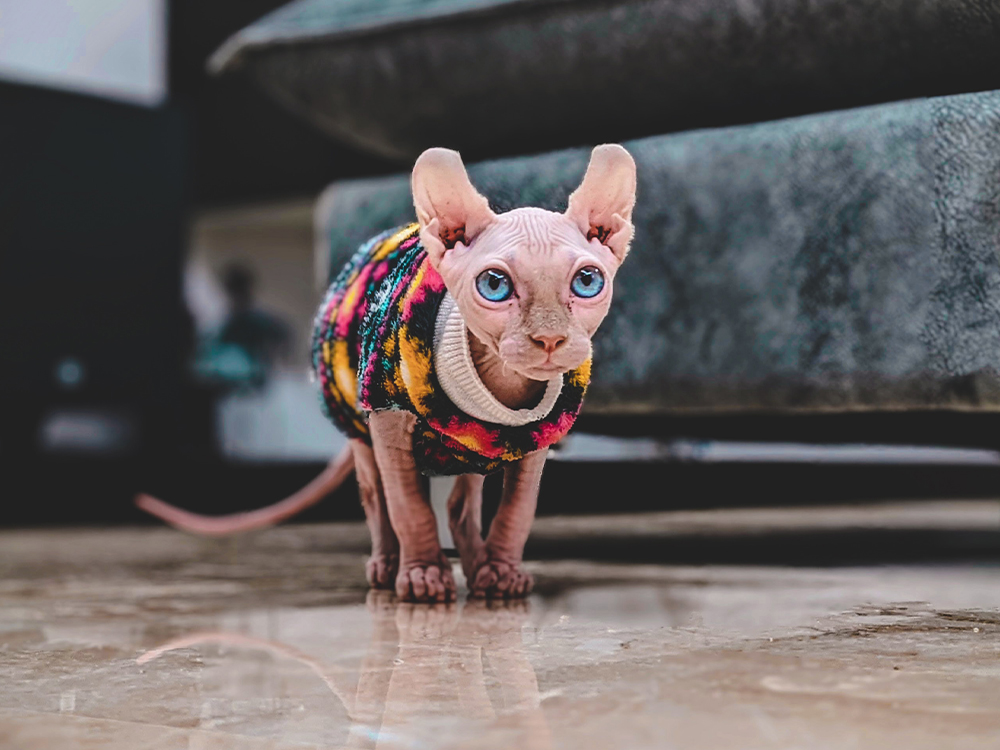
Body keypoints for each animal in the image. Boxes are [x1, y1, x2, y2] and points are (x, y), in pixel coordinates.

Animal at [137, 145, 636, 604]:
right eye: (494, 285)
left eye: (587, 281)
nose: (549, 339)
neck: (498, 388)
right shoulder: (388, 420)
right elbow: (407, 506)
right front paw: (423, 575)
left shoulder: (530, 442)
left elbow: (517, 510)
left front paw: (501, 571)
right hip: (357, 425)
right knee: (376, 496)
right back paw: (387, 565)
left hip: (475, 452)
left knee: (459, 505)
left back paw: (477, 567)